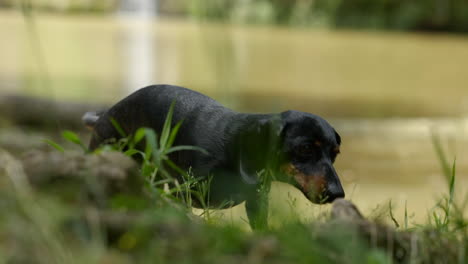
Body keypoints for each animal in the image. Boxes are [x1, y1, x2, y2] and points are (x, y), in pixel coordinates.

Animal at [86, 84, 346, 229]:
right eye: (306, 148)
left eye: (335, 154)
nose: (338, 194)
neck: (234, 149)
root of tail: (104, 115)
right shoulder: (184, 194)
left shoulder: (257, 202)